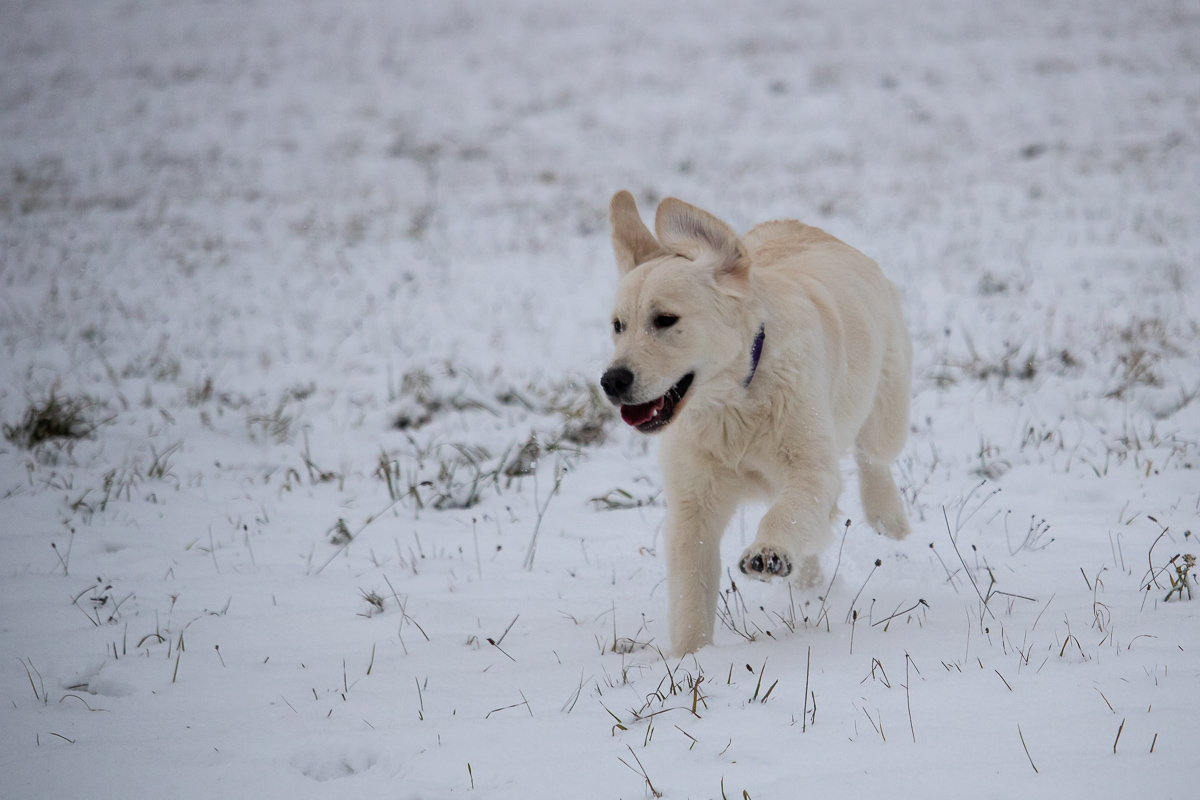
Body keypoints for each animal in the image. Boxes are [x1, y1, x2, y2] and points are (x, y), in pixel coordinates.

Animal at [600, 190, 907, 652]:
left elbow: (787, 513)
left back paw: (887, 516)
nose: (611, 381)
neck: (733, 402)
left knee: (874, 455)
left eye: (665, 320)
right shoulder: (692, 505)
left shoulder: (812, 468)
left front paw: (769, 553)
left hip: (887, 401)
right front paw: (690, 658)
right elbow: (691, 592)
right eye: (618, 326)